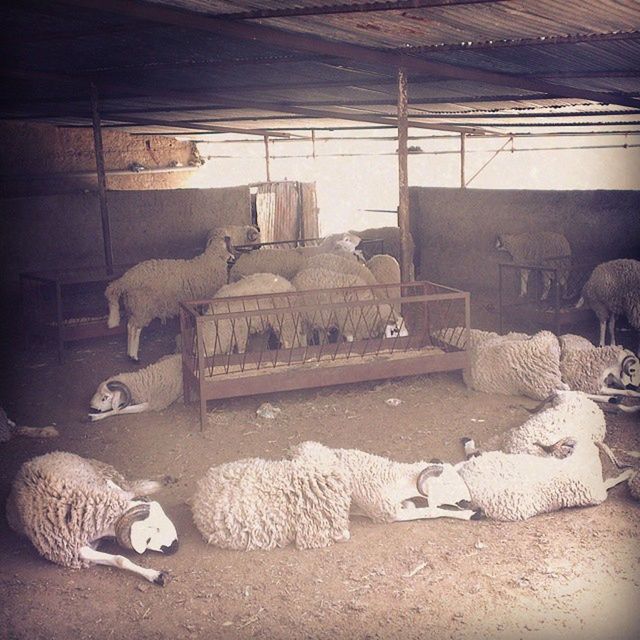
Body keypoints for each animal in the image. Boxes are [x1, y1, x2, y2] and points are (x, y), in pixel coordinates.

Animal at [6, 450, 179, 584]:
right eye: (148, 538)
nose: (174, 546)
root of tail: (34, 459)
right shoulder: (73, 550)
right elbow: (120, 559)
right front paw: (154, 575)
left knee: (130, 489)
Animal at [105, 226, 260, 362]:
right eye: (228, 243)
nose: (233, 258)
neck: (212, 259)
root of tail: (126, 279)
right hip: (143, 306)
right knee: (134, 328)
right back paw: (134, 356)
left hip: (135, 306)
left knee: (129, 326)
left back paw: (129, 354)